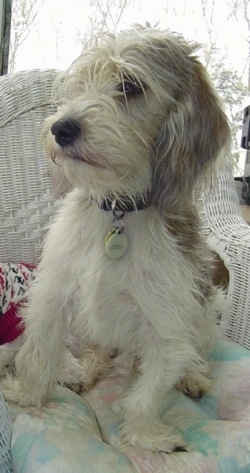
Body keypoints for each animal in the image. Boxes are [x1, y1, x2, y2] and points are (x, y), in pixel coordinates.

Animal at [0, 24, 230, 450]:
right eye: (80, 85)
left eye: (131, 86)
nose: (60, 128)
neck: (117, 211)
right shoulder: (52, 295)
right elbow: (37, 352)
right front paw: (27, 394)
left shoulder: (167, 329)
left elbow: (148, 393)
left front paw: (146, 435)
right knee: (99, 351)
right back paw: (84, 370)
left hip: (209, 307)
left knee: (195, 351)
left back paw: (193, 375)